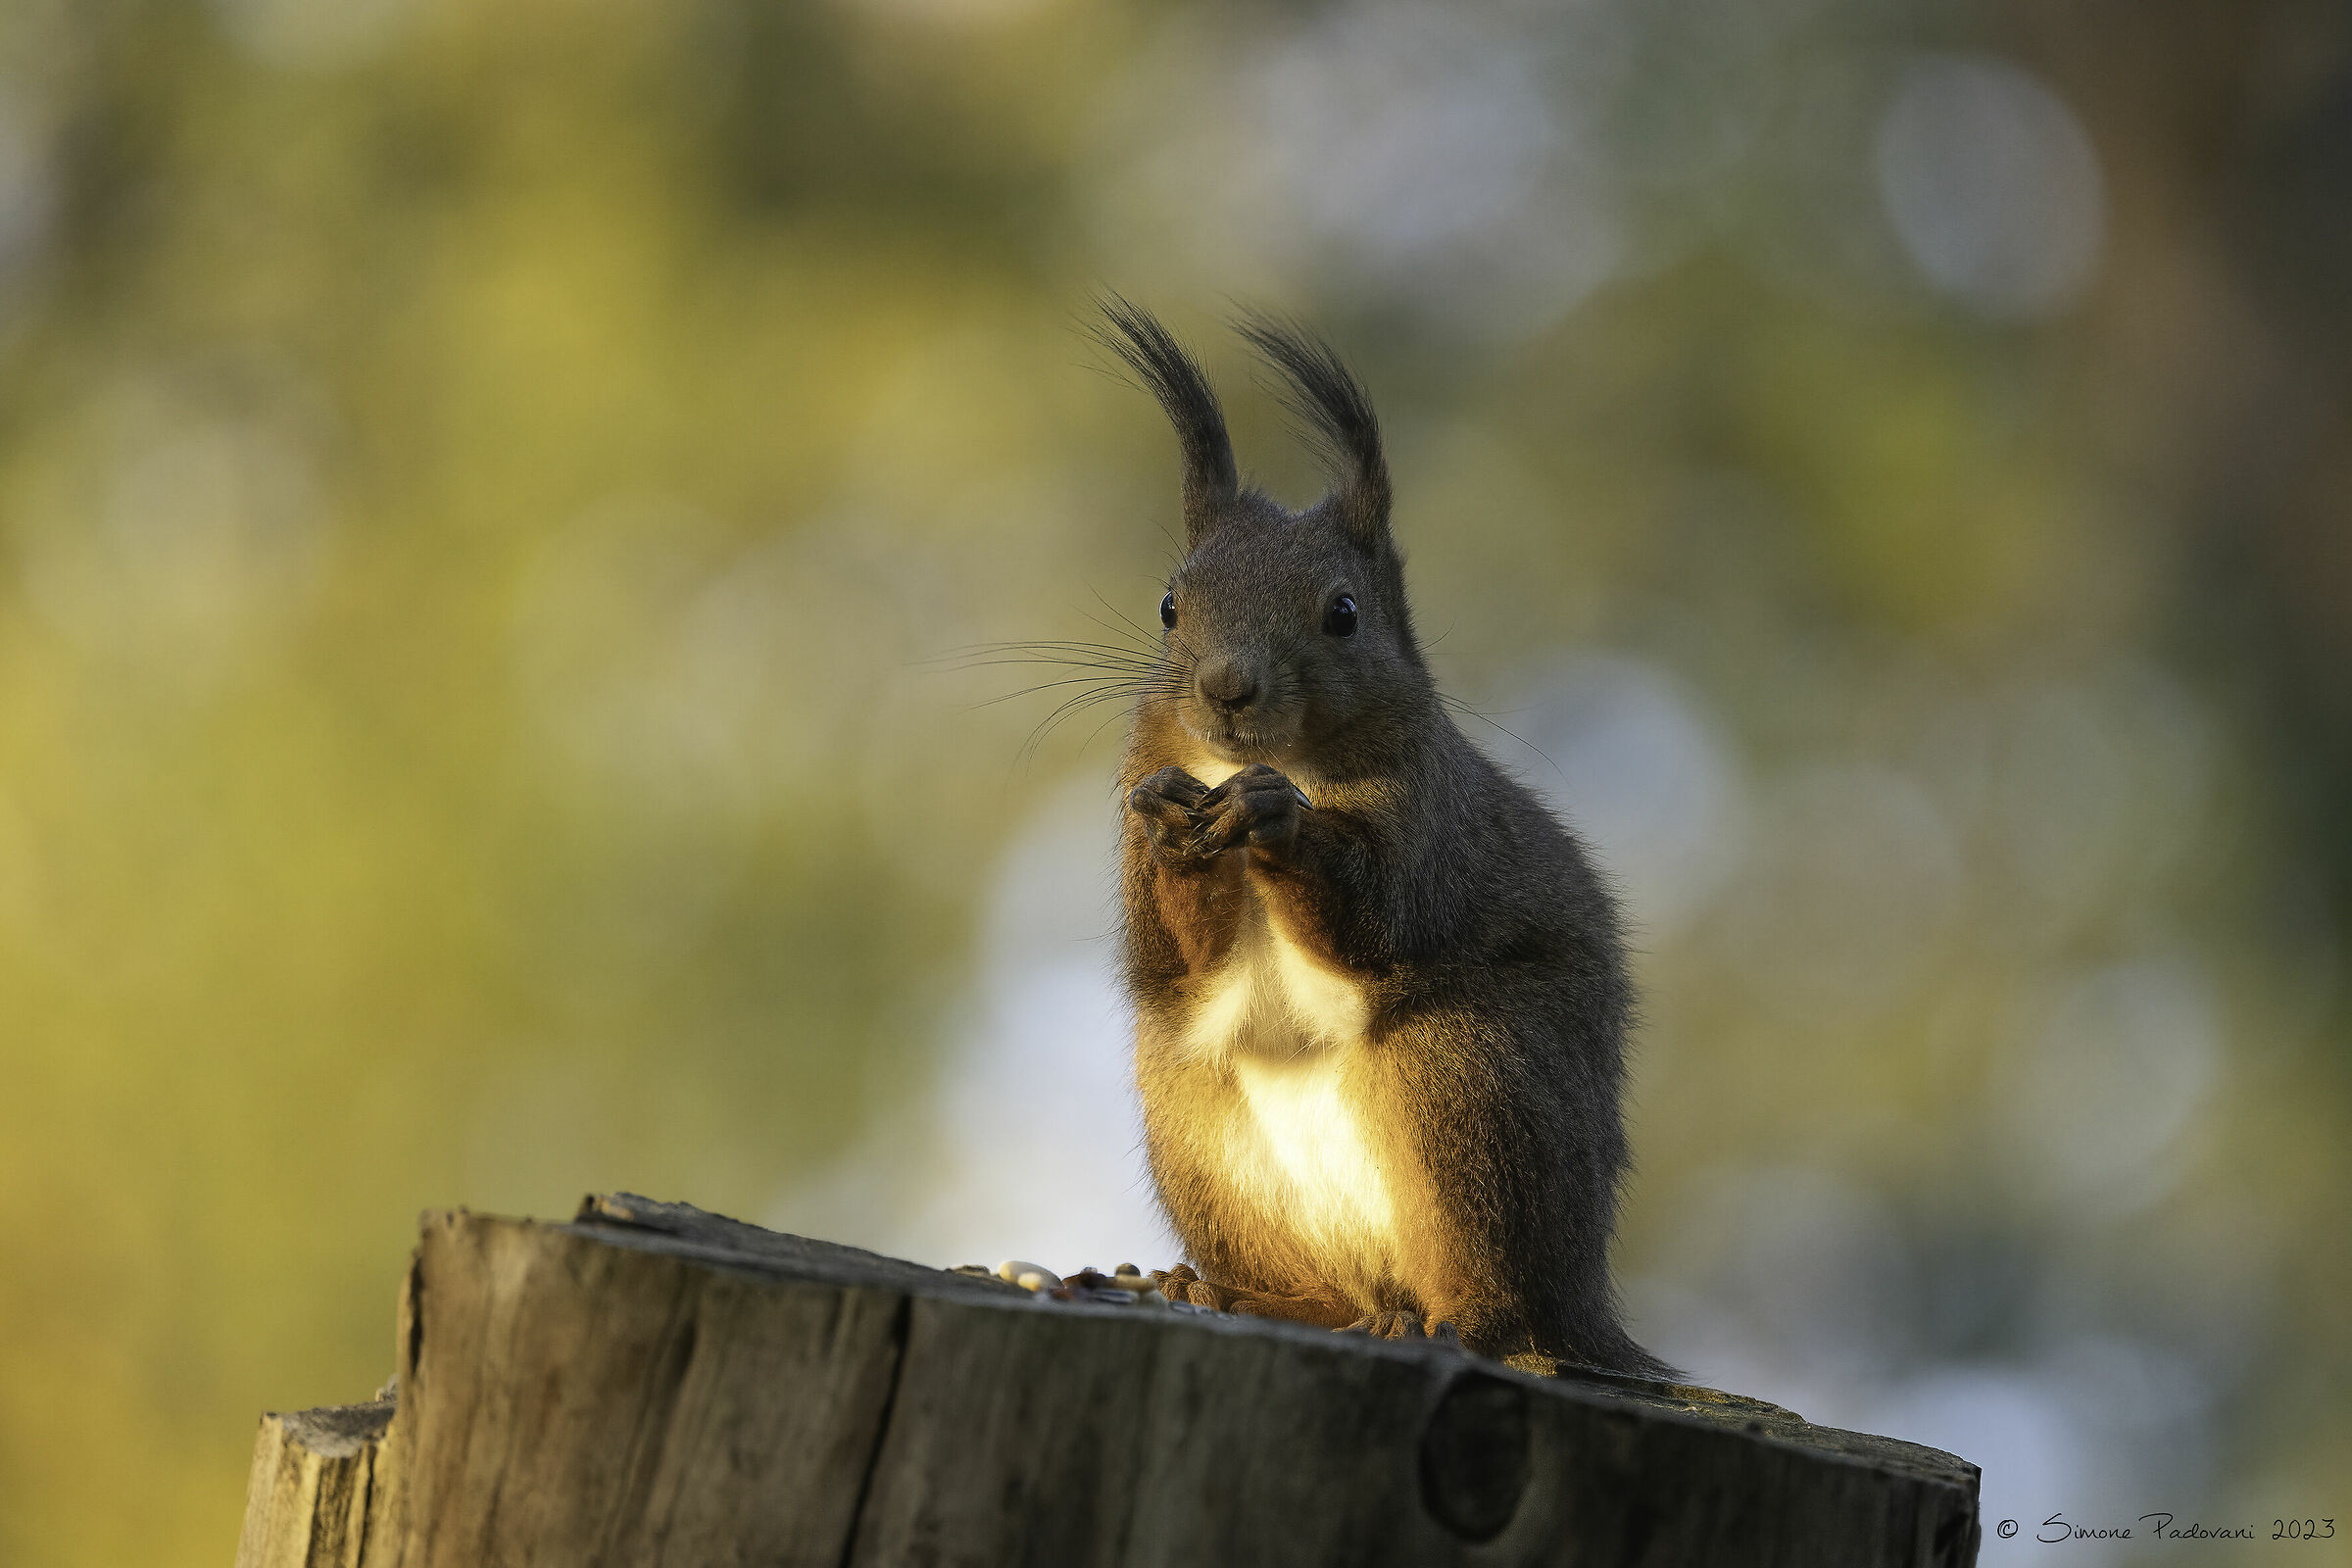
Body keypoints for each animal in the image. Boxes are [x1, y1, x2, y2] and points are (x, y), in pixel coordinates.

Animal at [1094, 300, 1669, 1379]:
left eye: (1344, 613)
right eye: (1168, 605)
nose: (1227, 687)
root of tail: (1582, 1298)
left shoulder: (1427, 819)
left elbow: (1379, 920)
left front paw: (1279, 819)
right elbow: (1168, 963)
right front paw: (1180, 838)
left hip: (1466, 1080)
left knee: (1498, 1307)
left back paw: (1452, 1321)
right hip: (1192, 1119)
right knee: (1332, 1294)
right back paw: (1237, 1294)